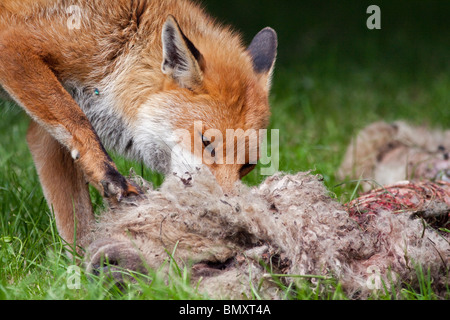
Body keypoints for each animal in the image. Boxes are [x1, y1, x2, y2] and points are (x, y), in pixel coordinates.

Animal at [0, 0, 276, 245]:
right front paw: (111, 177)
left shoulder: (46, 136)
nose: (230, 214)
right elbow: (76, 120)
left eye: (248, 165)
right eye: (206, 143)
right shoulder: (13, 44)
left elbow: (76, 221)